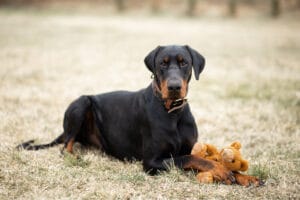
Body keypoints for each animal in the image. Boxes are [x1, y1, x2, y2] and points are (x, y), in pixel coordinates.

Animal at [17, 44, 234, 184]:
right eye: (162, 64)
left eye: (184, 63)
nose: (174, 87)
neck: (173, 112)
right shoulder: (152, 162)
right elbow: (189, 159)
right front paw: (220, 169)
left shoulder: (190, 146)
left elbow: (195, 156)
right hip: (81, 103)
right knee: (65, 146)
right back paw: (75, 157)